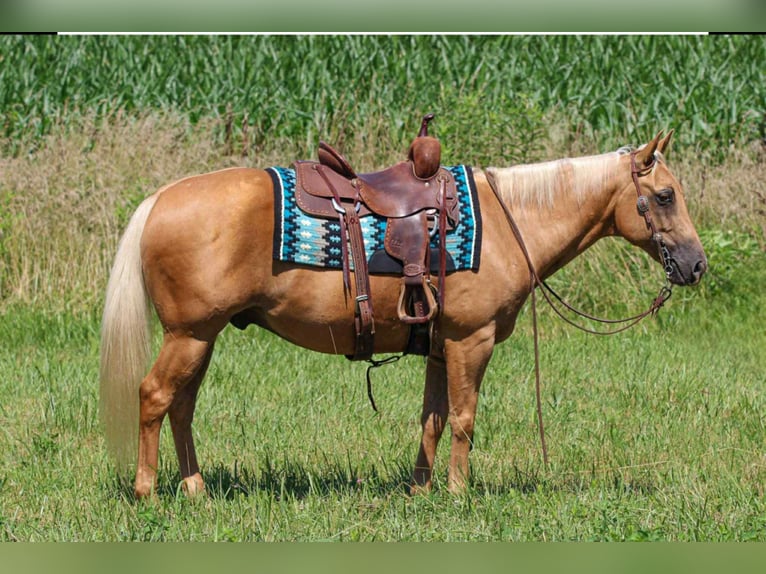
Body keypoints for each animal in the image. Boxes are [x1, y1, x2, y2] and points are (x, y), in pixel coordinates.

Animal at [99, 131, 707, 499]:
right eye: (666, 195)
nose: (697, 265)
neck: (508, 223)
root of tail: (160, 198)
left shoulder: (439, 346)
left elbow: (432, 419)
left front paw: (421, 491)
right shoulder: (470, 341)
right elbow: (463, 419)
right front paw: (459, 495)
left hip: (202, 336)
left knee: (181, 406)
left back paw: (196, 490)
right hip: (189, 334)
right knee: (155, 396)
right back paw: (148, 491)